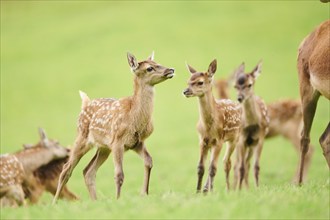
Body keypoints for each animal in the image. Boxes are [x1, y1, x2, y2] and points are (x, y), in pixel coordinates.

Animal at [52, 51, 175, 203]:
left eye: (158, 62)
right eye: (149, 68)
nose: (171, 70)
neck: (134, 116)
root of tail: (85, 104)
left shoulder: (137, 142)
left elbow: (148, 161)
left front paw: (144, 193)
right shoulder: (118, 141)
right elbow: (119, 174)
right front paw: (118, 200)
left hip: (103, 148)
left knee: (88, 171)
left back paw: (95, 201)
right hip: (82, 137)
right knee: (66, 169)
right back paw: (54, 202)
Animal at [182, 59, 241, 192]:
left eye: (200, 82)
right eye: (188, 81)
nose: (185, 91)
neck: (208, 127)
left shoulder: (219, 140)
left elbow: (213, 169)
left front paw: (211, 191)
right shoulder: (202, 140)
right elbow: (200, 168)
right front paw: (198, 191)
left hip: (234, 139)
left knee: (226, 162)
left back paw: (228, 190)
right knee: (214, 162)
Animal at [233, 61, 270, 189]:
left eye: (249, 84)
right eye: (235, 86)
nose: (240, 98)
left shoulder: (260, 138)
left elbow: (256, 166)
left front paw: (257, 188)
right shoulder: (241, 139)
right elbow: (241, 167)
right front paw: (238, 190)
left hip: (251, 145)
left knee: (248, 164)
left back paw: (247, 188)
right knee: (237, 165)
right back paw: (234, 188)